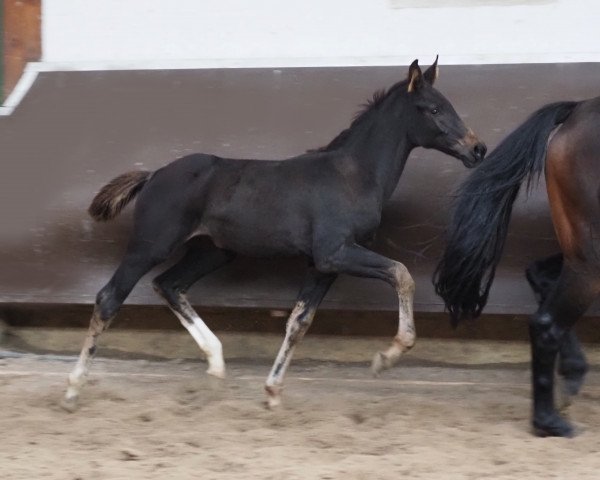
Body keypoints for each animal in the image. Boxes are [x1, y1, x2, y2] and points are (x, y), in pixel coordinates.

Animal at [61, 59, 486, 412]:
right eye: (434, 109)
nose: (478, 149)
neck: (353, 174)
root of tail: (153, 175)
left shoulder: (322, 264)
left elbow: (299, 321)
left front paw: (272, 391)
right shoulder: (335, 252)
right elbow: (401, 273)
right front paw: (389, 355)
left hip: (213, 252)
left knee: (170, 284)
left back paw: (216, 364)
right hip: (151, 245)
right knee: (110, 297)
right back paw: (73, 388)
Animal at [434, 95, 600, 436]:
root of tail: (577, 110)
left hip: (578, 250)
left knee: (539, 276)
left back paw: (570, 376)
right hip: (591, 258)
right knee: (546, 324)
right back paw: (550, 421)